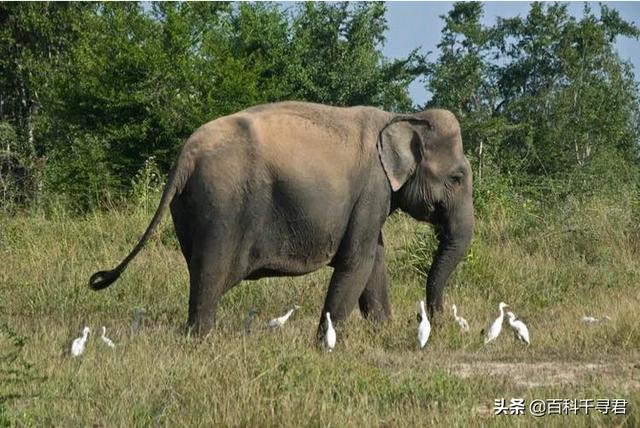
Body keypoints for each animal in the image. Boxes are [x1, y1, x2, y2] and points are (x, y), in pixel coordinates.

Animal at [87, 101, 472, 338]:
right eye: (457, 178)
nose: (432, 318)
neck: (401, 116)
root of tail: (185, 155)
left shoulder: (370, 199)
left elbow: (374, 258)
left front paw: (382, 331)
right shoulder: (373, 187)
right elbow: (357, 260)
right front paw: (324, 345)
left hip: (187, 209)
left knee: (198, 268)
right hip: (222, 205)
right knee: (212, 273)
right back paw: (200, 339)